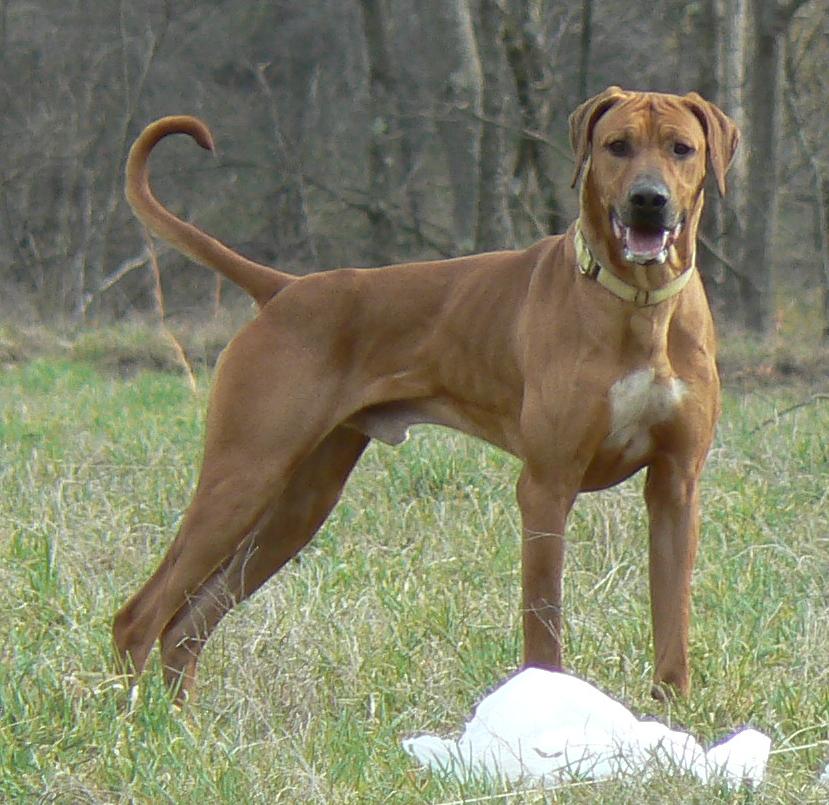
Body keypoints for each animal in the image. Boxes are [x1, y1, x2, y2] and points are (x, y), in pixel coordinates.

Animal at [111, 88, 736, 700]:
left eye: (681, 148)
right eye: (617, 145)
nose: (648, 200)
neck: (639, 303)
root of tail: (284, 289)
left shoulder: (676, 488)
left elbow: (672, 627)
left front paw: (673, 720)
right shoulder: (546, 486)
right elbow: (543, 621)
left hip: (300, 503)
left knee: (188, 624)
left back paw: (181, 724)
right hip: (246, 472)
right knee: (139, 618)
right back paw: (133, 722)